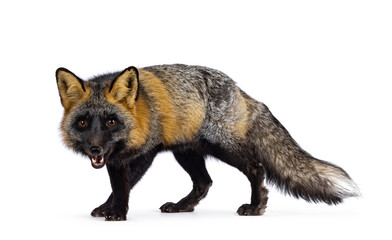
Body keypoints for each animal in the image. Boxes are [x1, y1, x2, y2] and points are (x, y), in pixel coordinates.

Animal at [55, 63, 358, 221]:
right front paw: (108, 207)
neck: (141, 115)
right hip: (186, 152)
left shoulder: (146, 152)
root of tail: (239, 89)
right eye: (83, 123)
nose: (95, 148)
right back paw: (183, 206)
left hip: (223, 147)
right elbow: (117, 186)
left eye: (111, 122)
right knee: (204, 182)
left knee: (256, 168)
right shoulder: (115, 158)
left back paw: (256, 207)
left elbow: (123, 188)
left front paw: (117, 211)